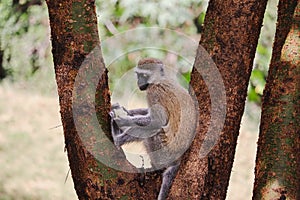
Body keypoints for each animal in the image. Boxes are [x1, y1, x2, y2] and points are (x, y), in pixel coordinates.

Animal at [109, 57, 198, 200]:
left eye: (144, 76)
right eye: (139, 75)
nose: (139, 82)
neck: (159, 80)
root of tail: (178, 159)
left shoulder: (154, 92)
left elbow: (158, 121)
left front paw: (121, 121)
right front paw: (126, 111)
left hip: (164, 152)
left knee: (151, 130)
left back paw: (116, 138)